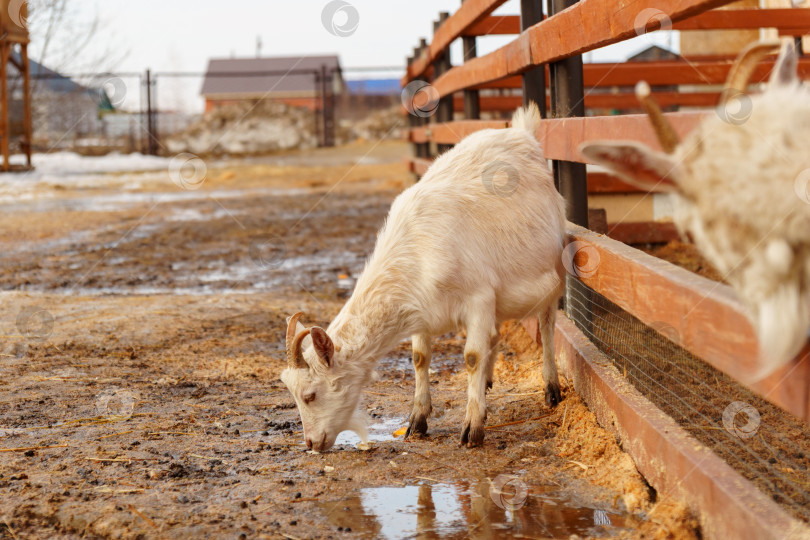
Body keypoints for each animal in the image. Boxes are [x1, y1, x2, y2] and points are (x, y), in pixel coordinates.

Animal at [280, 104, 564, 452]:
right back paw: (486, 382)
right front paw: (417, 420)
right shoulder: (422, 308)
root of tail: (523, 131)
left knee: (548, 324)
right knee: (496, 334)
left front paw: (472, 427)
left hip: (553, 269)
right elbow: (419, 357)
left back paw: (551, 388)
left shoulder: (478, 299)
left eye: (310, 394)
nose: (312, 442)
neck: (415, 250)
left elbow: (471, 357)